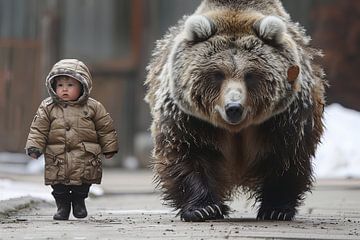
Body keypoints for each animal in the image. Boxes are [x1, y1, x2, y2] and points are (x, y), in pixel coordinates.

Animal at [143, 0, 326, 221]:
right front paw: (203, 209)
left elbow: (286, 155)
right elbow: (186, 152)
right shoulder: (188, 117)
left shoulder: (285, 117)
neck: (237, 129)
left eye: (250, 75)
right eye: (217, 74)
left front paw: (276, 209)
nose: (233, 108)